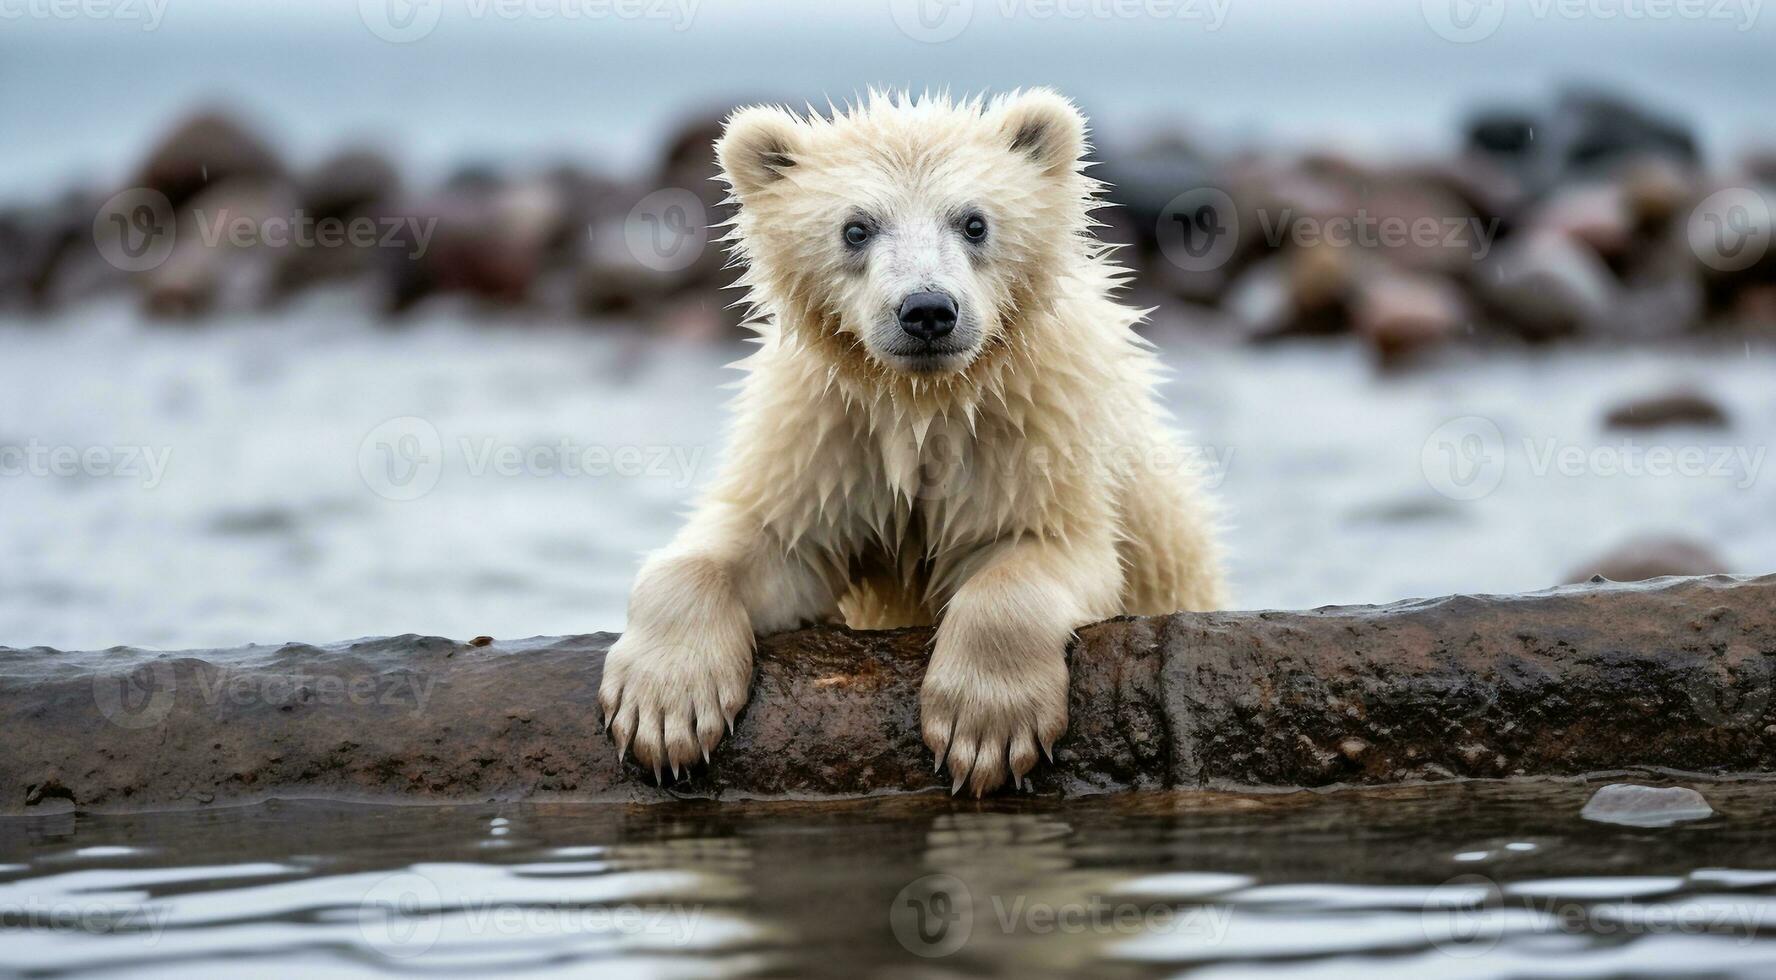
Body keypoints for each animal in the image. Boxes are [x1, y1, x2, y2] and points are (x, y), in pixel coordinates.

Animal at [603, 87, 1228, 795]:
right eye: (856, 228)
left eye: (975, 222)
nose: (927, 310)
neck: (923, 403)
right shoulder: (829, 439)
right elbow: (763, 546)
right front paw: (663, 709)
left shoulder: (1036, 432)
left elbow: (1047, 546)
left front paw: (983, 728)